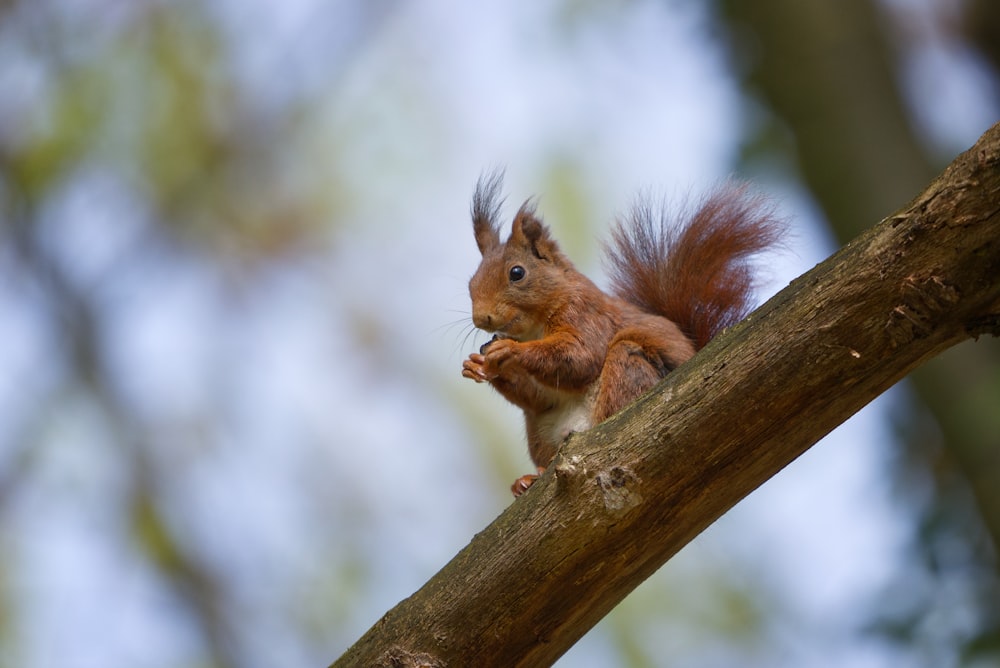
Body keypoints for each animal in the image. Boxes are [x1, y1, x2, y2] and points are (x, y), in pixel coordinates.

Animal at [460, 172, 780, 496]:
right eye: (471, 282)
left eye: (517, 273)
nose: (481, 318)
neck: (533, 327)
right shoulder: (541, 395)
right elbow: (538, 396)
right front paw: (477, 365)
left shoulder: (586, 314)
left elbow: (580, 357)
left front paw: (511, 351)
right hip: (539, 429)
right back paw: (530, 478)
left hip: (629, 368)